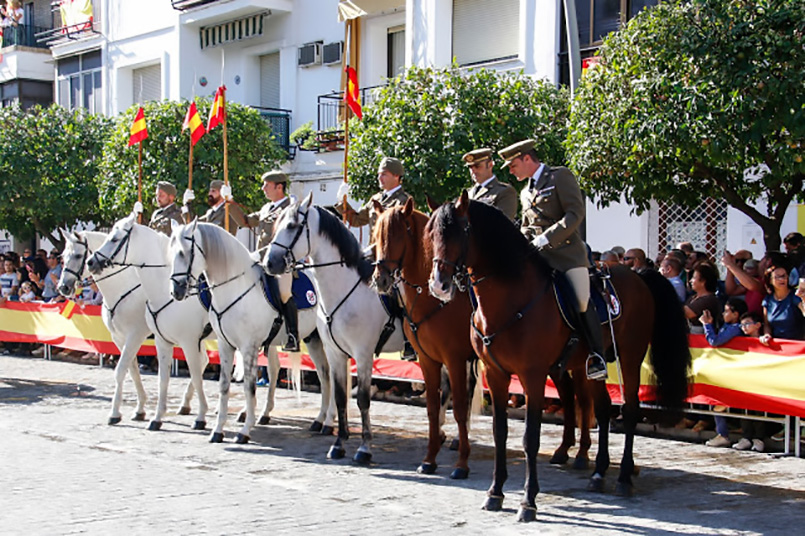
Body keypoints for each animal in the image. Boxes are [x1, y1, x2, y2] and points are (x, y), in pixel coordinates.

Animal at [87, 214, 210, 432]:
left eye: (115, 239)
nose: (91, 262)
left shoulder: (184, 341)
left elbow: (195, 375)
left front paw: (201, 416)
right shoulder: (154, 340)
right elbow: (155, 377)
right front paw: (151, 415)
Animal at [168, 220, 334, 442]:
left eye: (184, 253)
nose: (176, 291)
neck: (235, 288)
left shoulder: (248, 346)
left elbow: (249, 386)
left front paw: (245, 431)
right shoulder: (226, 345)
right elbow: (224, 385)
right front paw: (217, 430)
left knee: (328, 374)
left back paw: (328, 421)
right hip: (311, 339)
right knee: (320, 374)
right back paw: (316, 420)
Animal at [266, 194, 406, 464]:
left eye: (292, 226)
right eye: (275, 225)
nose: (269, 262)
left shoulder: (363, 355)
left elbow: (362, 399)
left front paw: (364, 448)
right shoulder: (335, 353)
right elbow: (340, 396)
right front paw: (339, 443)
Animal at [424, 194, 688, 524]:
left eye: (460, 232)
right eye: (430, 234)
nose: (439, 285)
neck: (510, 298)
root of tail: (637, 275)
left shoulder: (532, 375)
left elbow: (530, 438)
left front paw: (528, 501)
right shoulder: (496, 375)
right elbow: (500, 433)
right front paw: (495, 492)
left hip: (630, 357)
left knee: (629, 410)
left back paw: (624, 477)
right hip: (593, 366)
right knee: (603, 410)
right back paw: (599, 473)